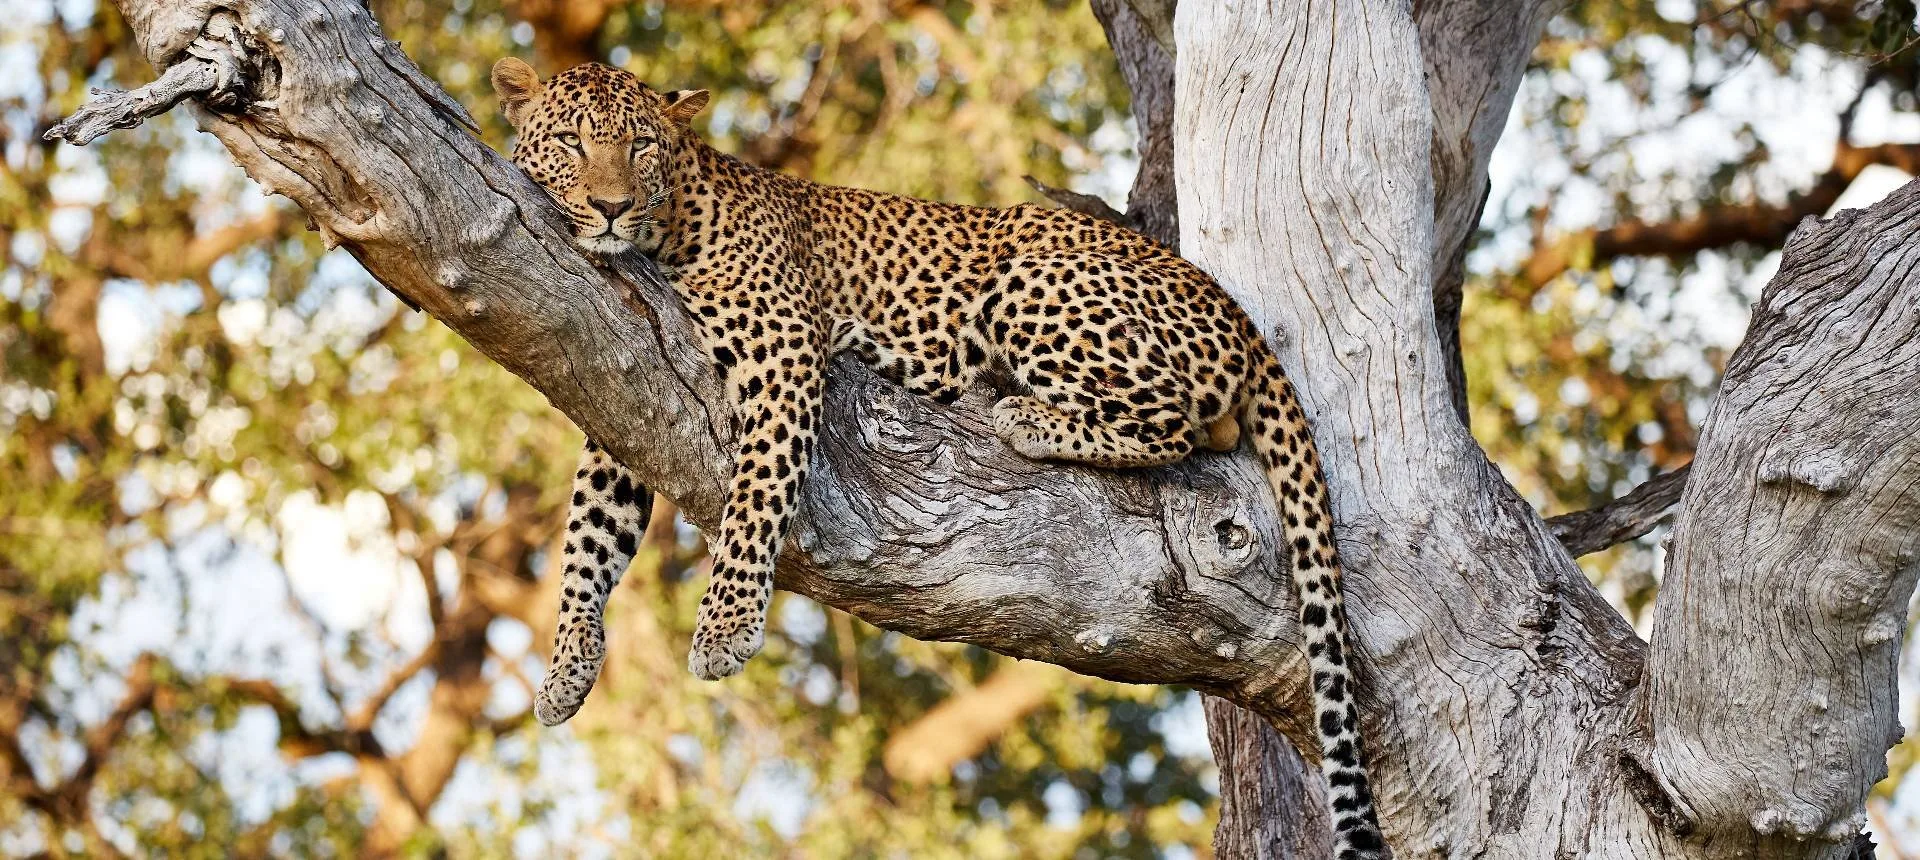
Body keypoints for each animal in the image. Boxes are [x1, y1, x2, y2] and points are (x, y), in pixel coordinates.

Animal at [492, 57, 1389, 857]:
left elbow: (753, 498)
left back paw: (1023, 415)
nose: (611, 207)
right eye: (571, 141)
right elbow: (587, 539)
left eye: (640, 145)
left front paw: (724, 629)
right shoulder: (625, 384)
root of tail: (1234, 308)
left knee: (1177, 421)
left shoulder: (784, 356)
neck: (670, 225)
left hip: (1032, 283)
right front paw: (565, 671)